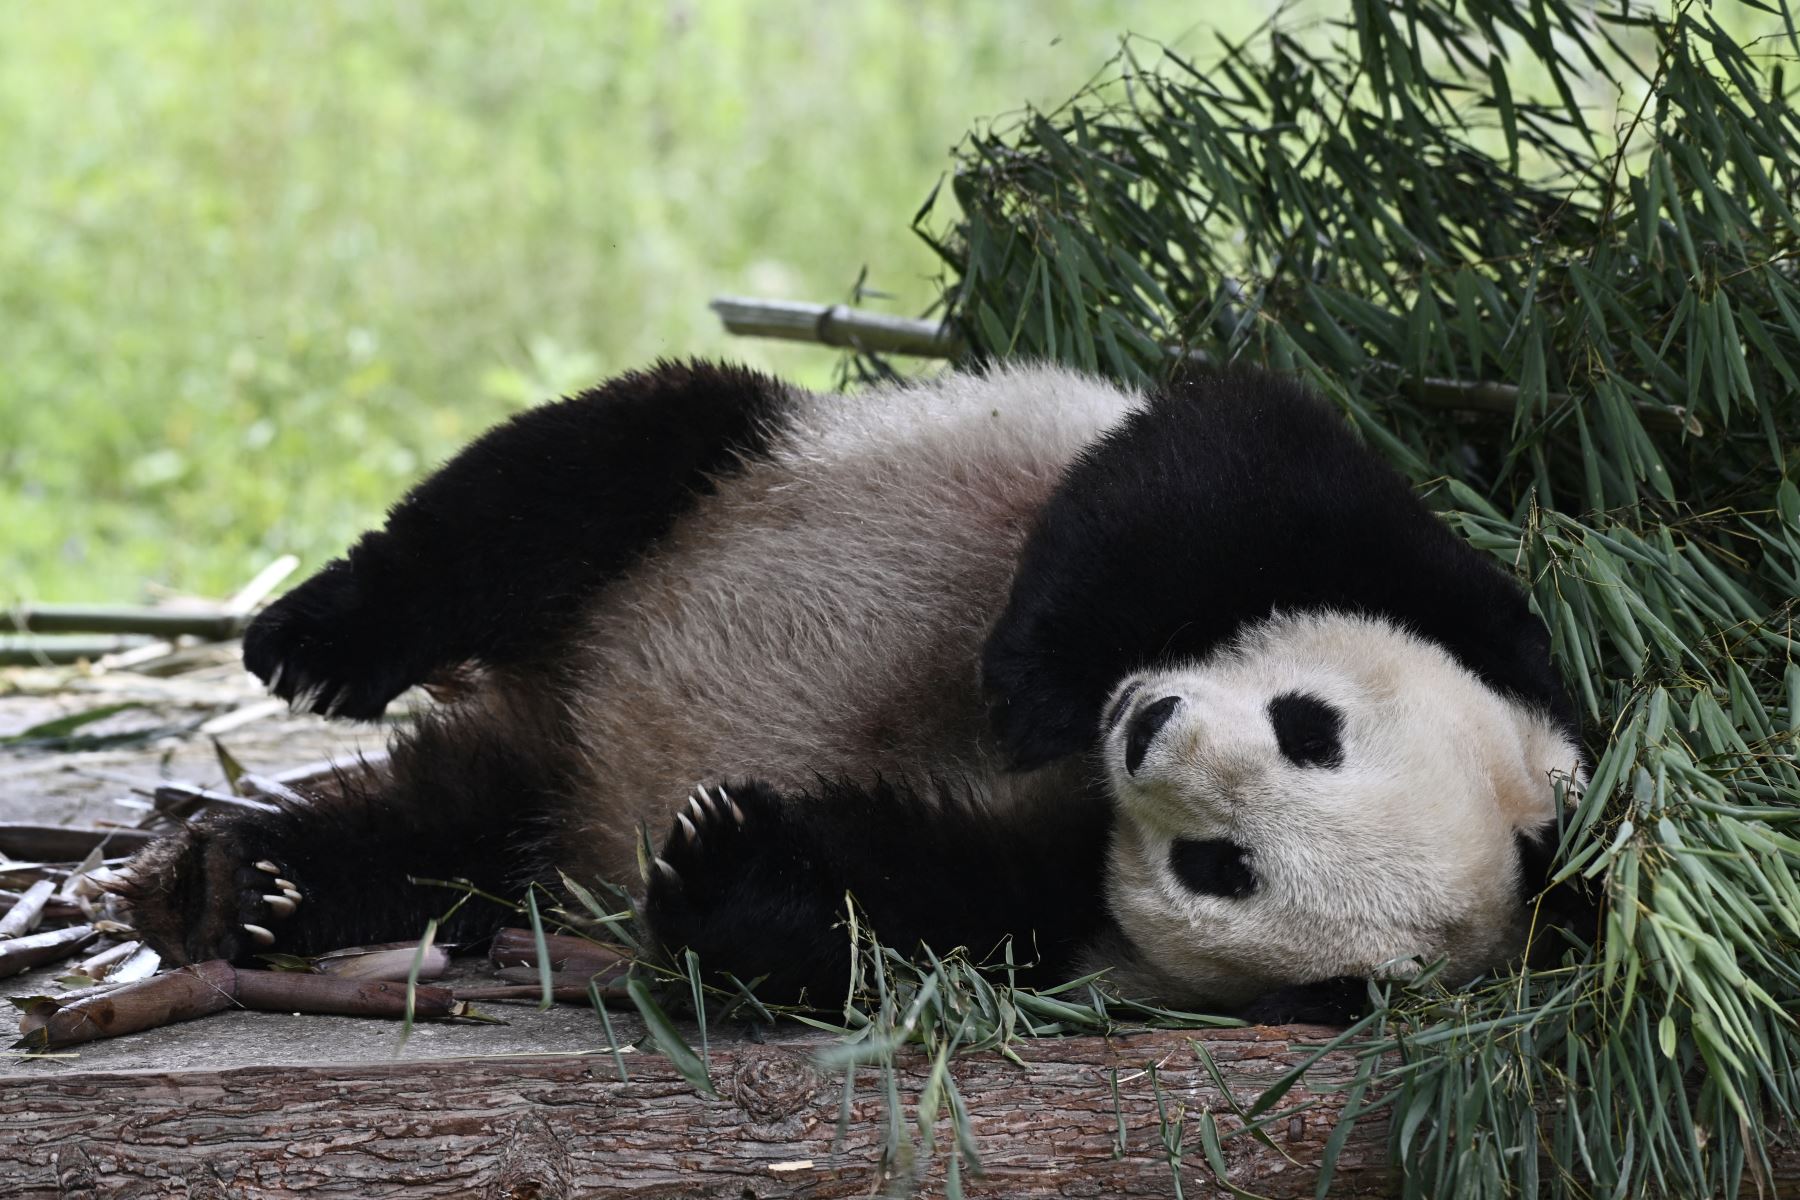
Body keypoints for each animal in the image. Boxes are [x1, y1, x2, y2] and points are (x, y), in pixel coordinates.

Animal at [123, 359, 1591, 1021]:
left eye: (1221, 866)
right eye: (1310, 729)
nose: (1148, 731)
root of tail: (570, 726)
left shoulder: (1056, 914)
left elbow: (888, 914)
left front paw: (722, 856)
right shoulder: (1435, 585)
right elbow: (1219, 456)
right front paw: (1030, 676)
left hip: (531, 811)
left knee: (446, 835)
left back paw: (247, 887)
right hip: (743, 473)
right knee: (567, 477)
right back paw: (315, 646)